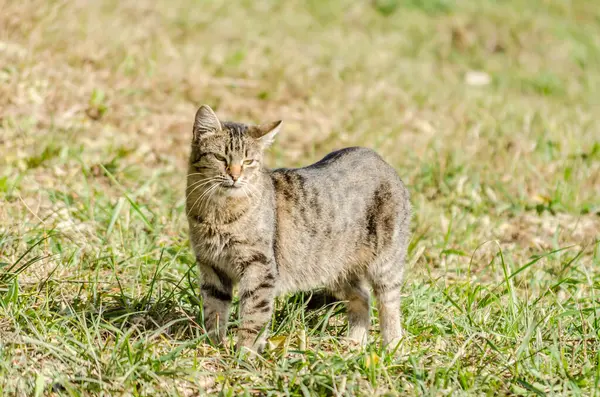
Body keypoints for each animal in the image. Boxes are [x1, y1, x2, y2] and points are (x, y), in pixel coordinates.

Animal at [186, 103, 412, 352]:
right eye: (220, 157)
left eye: (248, 162)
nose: (235, 176)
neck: (217, 212)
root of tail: (376, 155)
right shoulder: (211, 266)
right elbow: (214, 311)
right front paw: (211, 346)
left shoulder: (260, 268)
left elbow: (253, 315)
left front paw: (245, 352)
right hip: (334, 269)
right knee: (362, 297)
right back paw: (354, 344)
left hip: (385, 264)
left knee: (389, 305)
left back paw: (393, 348)